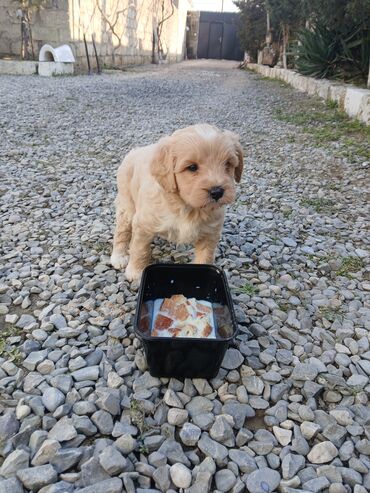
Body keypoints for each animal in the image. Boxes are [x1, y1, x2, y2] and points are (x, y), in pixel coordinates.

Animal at [110, 123, 243, 280]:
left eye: (228, 164)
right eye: (192, 167)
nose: (217, 192)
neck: (187, 207)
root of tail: (135, 150)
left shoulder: (210, 232)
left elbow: (206, 256)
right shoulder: (143, 224)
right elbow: (139, 249)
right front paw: (135, 272)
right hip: (127, 204)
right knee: (122, 231)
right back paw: (119, 256)